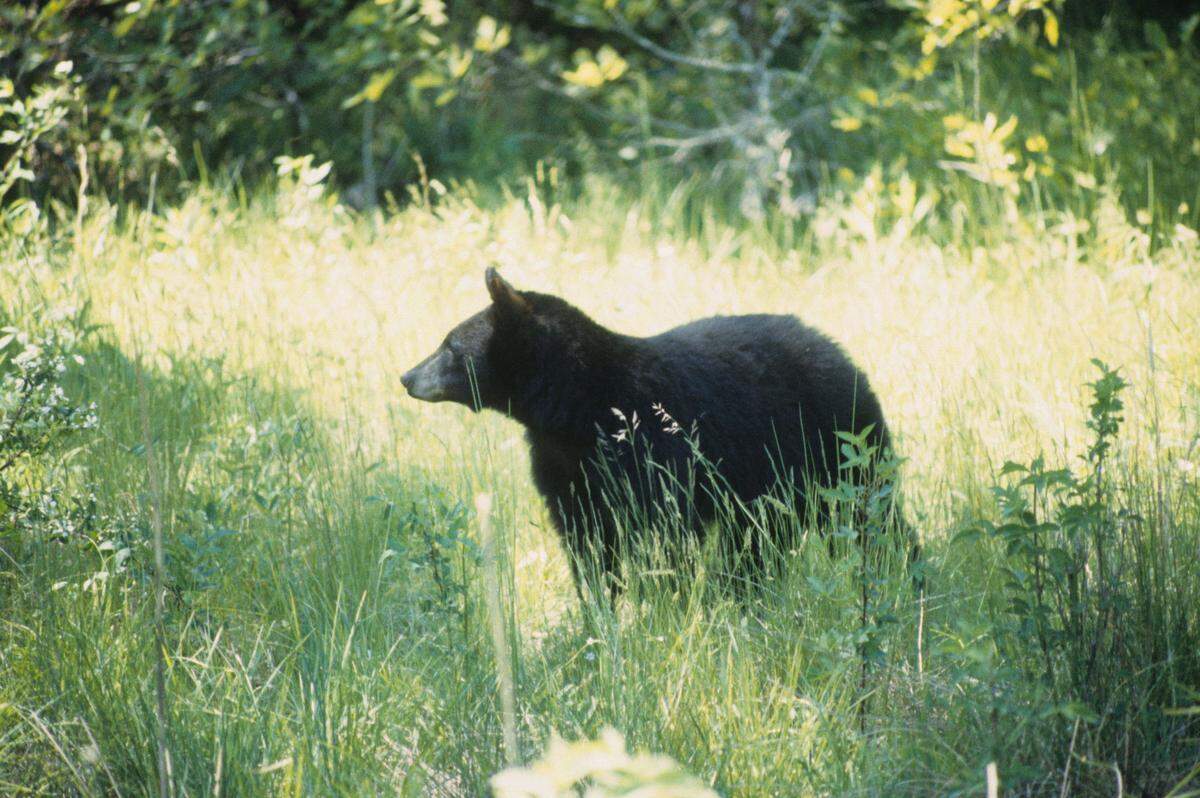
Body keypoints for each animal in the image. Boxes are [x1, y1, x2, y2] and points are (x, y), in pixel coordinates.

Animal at [402, 267, 909, 597]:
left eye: (449, 345)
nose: (407, 377)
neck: (579, 410)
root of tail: (837, 349)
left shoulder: (657, 454)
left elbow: (667, 539)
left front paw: (666, 605)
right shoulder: (566, 470)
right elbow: (587, 544)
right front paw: (599, 615)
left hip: (838, 442)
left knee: (874, 514)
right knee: (759, 543)